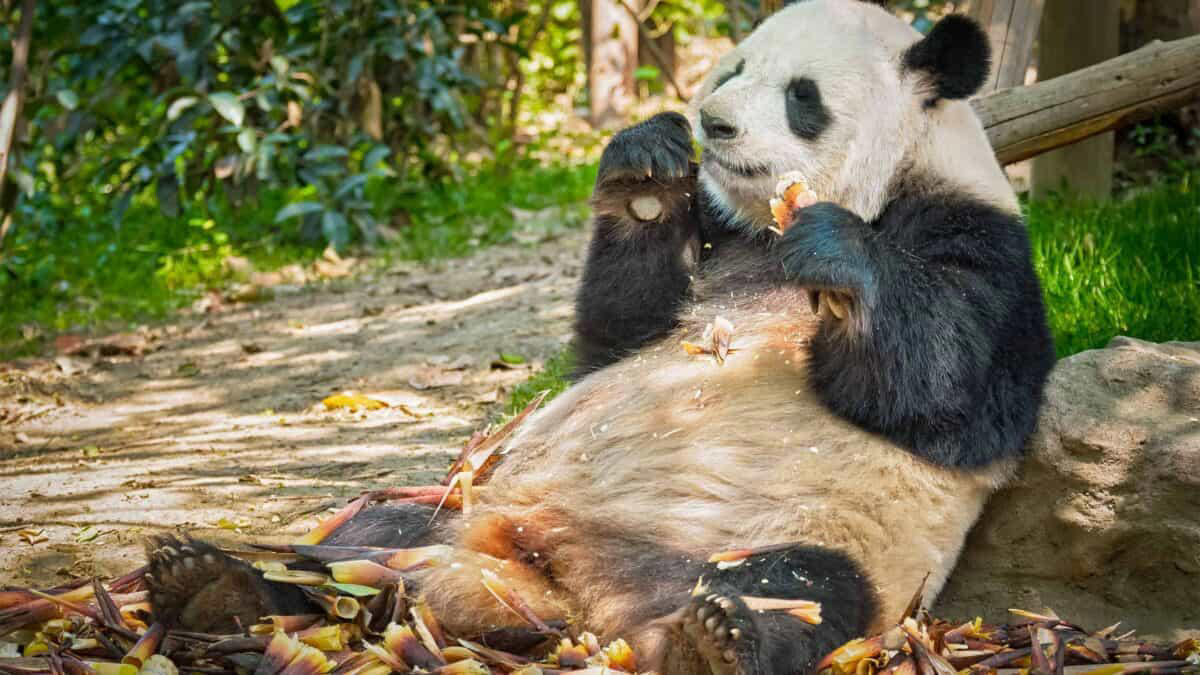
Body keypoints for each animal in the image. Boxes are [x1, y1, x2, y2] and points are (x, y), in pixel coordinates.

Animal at [144, 1, 1056, 673]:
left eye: (802, 94)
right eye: (734, 68)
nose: (713, 123)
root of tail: (562, 586)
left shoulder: (984, 243)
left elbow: (948, 391)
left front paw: (836, 253)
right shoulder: (721, 242)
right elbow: (618, 333)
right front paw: (648, 163)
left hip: (809, 533)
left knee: (801, 586)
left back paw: (716, 640)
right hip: (457, 506)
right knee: (365, 541)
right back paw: (218, 585)